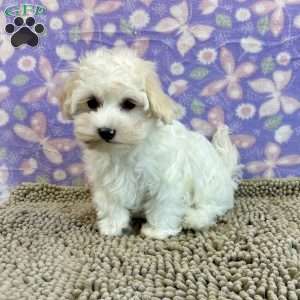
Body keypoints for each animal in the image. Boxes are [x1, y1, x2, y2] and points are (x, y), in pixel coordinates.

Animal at [58, 47, 241, 239]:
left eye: (129, 104)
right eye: (92, 102)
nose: (106, 131)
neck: (125, 150)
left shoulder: (167, 179)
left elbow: (163, 205)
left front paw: (158, 231)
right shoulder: (105, 180)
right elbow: (111, 204)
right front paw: (112, 226)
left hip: (211, 184)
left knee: (212, 207)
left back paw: (194, 218)